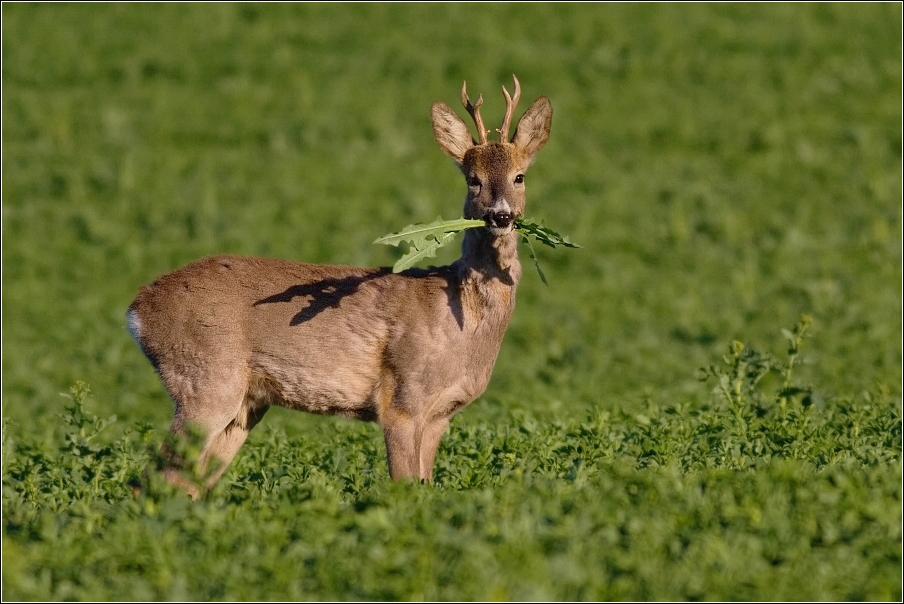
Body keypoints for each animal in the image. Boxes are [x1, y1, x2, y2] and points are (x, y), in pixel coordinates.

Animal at [126, 75, 552, 498]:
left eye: (520, 176)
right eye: (472, 179)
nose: (500, 216)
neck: (462, 319)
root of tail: (137, 310)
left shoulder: (439, 415)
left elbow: (426, 484)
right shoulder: (402, 398)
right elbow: (404, 484)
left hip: (243, 406)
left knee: (186, 483)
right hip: (206, 380)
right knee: (153, 478)